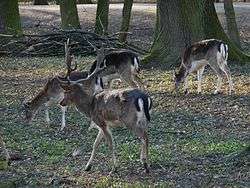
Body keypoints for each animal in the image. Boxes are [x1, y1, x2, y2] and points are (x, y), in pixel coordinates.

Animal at [58, 45, 152, 173]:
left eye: (66, 92)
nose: (61, 102)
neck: (90, 107)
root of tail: (144, 98)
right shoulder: (103, 125)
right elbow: (95, 144)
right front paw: (87, 166)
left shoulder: (101, 122)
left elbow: (110, 144)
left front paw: (114, 168)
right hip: (143, 119)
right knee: (146, 135)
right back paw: (144, 162)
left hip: (129, 120)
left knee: (144, 137)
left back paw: (146, 165)